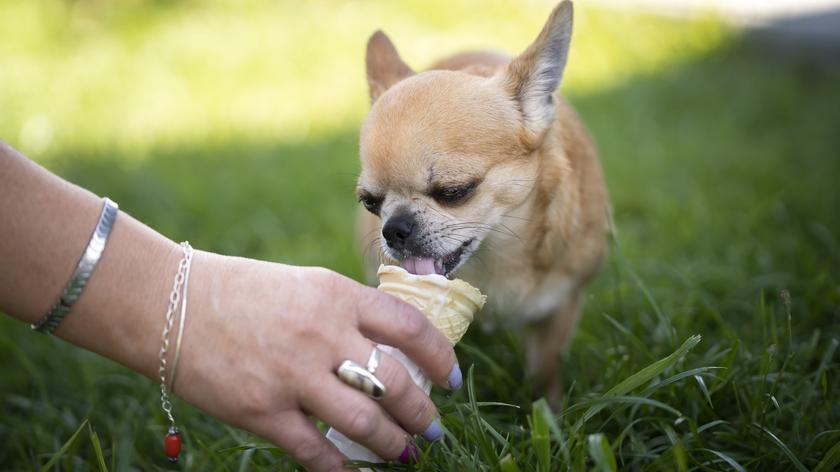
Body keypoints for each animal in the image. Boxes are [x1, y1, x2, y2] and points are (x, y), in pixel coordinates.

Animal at [358, 0, 608, 398]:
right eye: (370, 202)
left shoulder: (561, 307)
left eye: (454, 191)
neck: (496, 255)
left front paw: (550, 410)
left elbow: (545, 370)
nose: (394, 229)